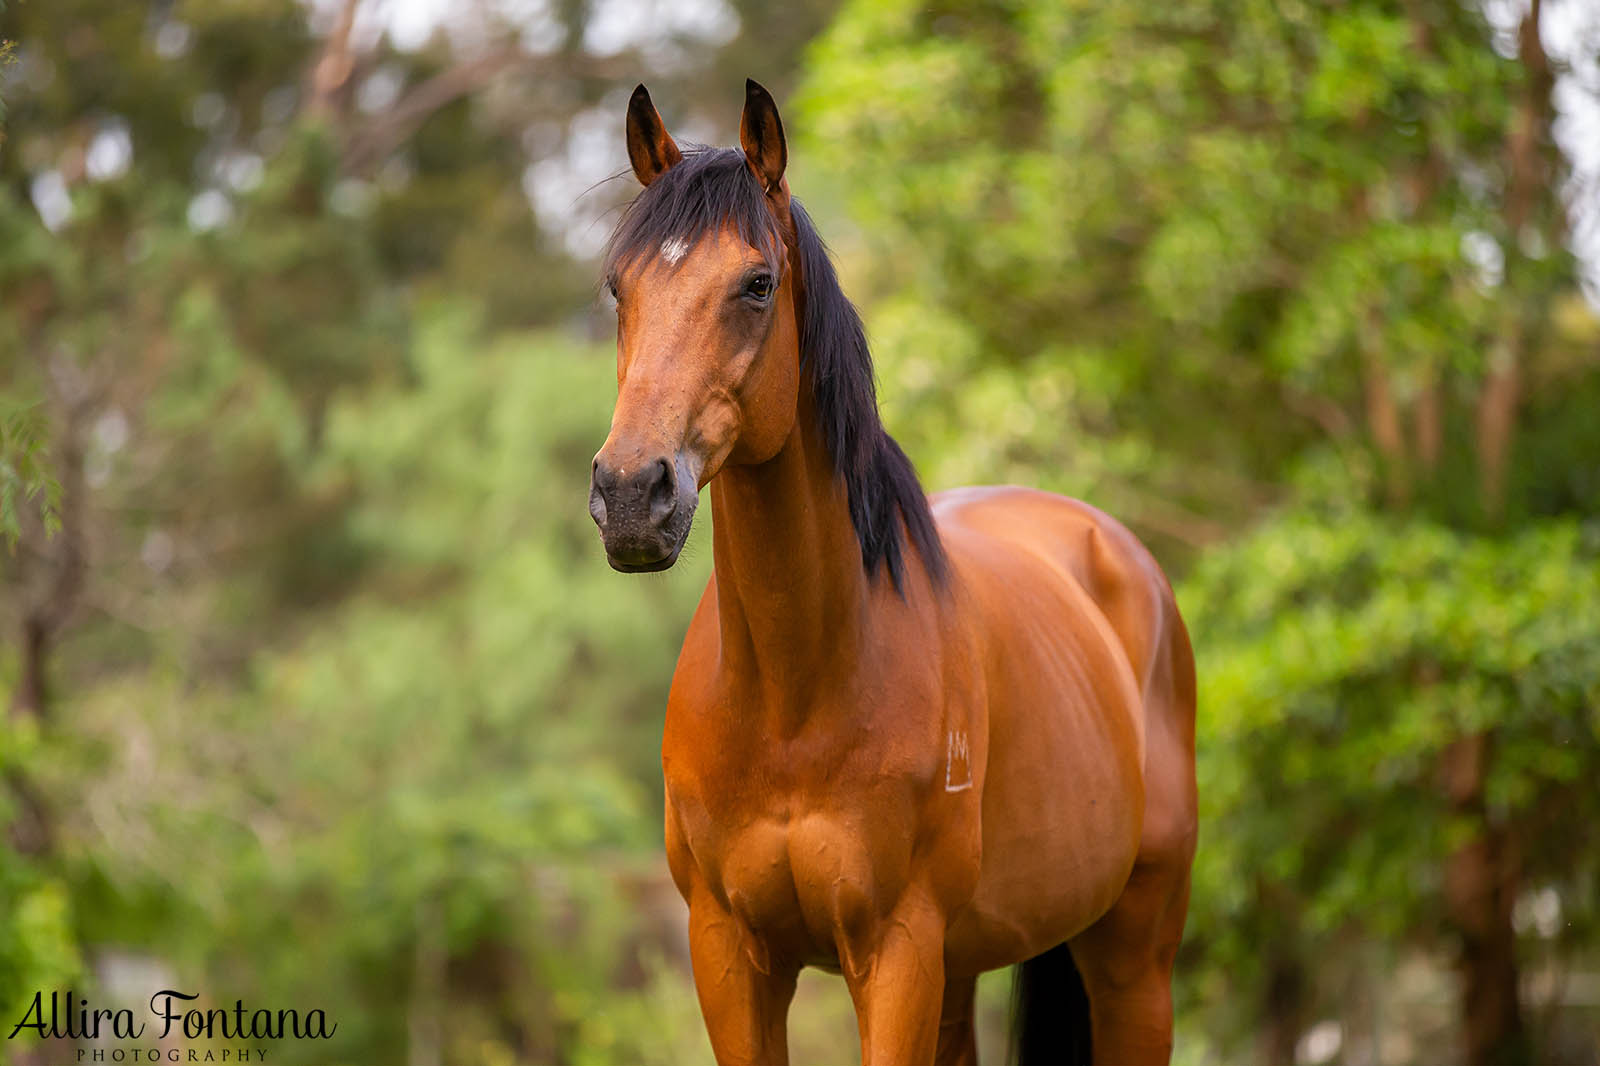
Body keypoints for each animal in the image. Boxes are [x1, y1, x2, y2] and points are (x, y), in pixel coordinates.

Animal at [592, 83, 1203, 1062]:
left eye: (756, 285)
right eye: (621, 287)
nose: (628, 494)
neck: (793, 698)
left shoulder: (897, 954)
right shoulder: (729, 957)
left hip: (1132, 966)